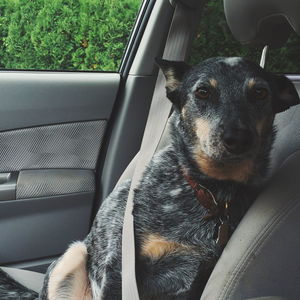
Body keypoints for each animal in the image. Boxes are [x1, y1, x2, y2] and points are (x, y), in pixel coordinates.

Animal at [0, 56, 300, 300]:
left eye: (260, 92)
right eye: (203, 91)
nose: (238, 138)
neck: (209, 190)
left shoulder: (201, 274)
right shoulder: (121, 267)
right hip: (75, 254)